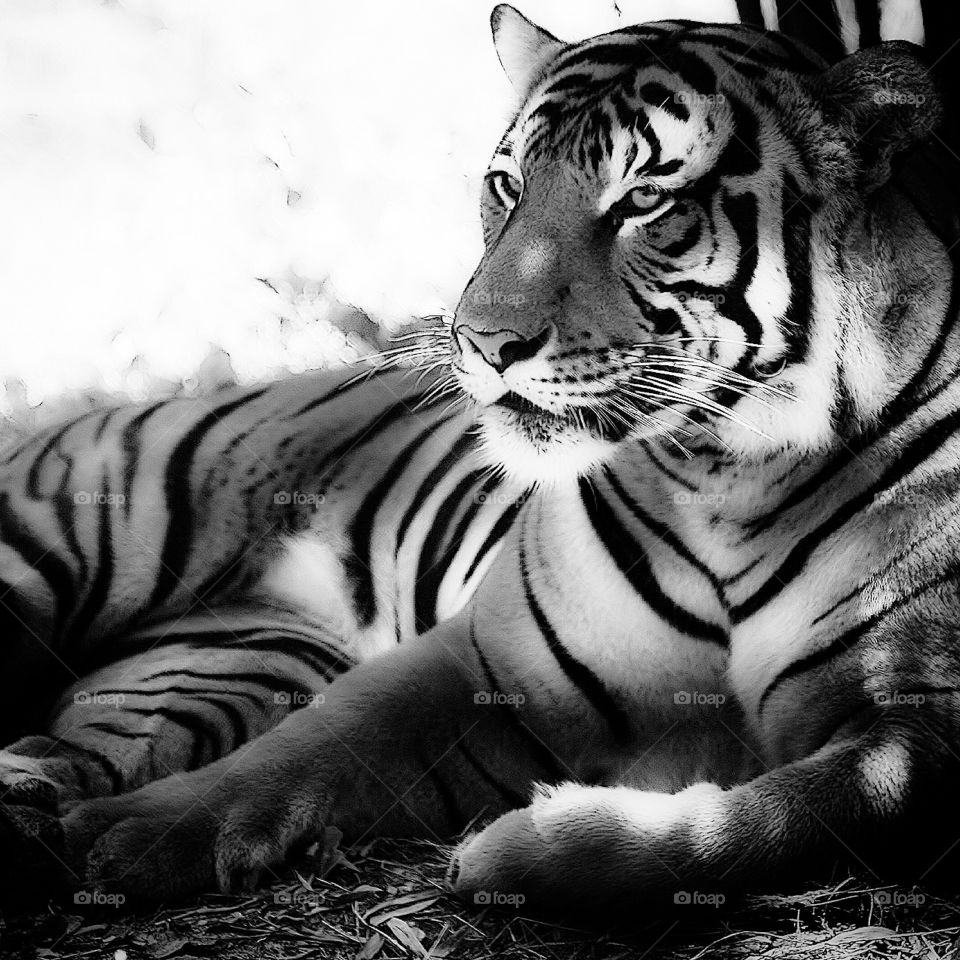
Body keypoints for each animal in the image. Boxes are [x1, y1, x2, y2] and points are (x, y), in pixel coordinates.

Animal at [1, 0, 959, 911]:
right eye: (507, 186)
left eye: (644, 201)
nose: (483, 341)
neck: (724, 471)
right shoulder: (487, 664)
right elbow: (301, 751)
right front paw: (117, 834)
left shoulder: (912, 738)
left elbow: (762, 824)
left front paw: (521, 849)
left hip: (223, 668)